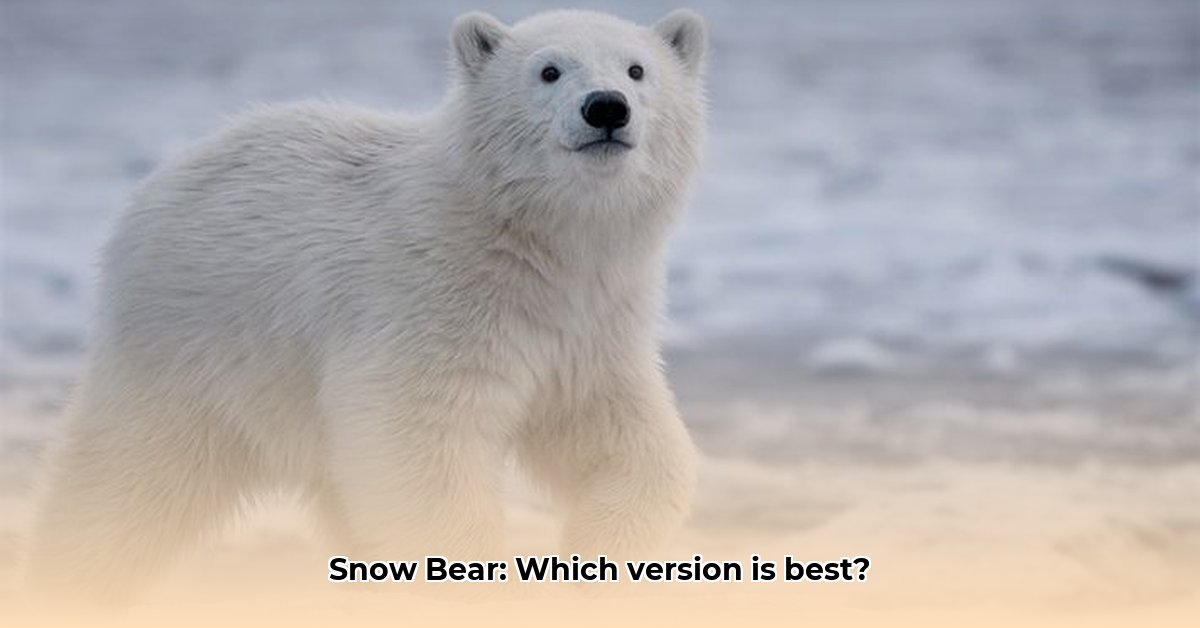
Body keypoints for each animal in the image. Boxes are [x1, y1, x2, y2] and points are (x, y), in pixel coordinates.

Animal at [24, 8, 706, 605]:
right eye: (548, 70)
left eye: (637, 69)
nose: (606, 107)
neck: (529, 240)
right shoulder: (430, 299)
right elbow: (417, 444)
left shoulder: (589, 323)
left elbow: (626, 439)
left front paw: (595, 552)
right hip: (198, 347)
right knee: (126, 483)